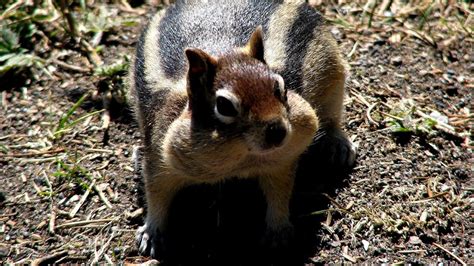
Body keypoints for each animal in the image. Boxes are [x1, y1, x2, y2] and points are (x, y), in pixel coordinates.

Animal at [130, 0, 356, 258]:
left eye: (281, 88)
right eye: (224, 106)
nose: (278, 131)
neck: (240, 157)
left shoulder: (282, 160)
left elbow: (280, 192)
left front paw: (278, 231)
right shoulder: (160, 157)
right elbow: (156, 193)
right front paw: (152, 233)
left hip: (334, 78)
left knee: (332, 118)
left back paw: (338, 145)